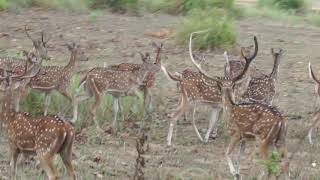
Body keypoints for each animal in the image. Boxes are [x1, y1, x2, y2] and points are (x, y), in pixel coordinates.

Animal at [189, 31, 288, 179]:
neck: (230, 107)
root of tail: (281, 120)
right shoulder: (244, 139)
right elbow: (239, 157)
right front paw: (238, 172)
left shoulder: (236, 133)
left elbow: (227, 153)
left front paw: (235, 173)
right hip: (280, 140)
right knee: (285, 161)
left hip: (263, 139)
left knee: (269, 165)